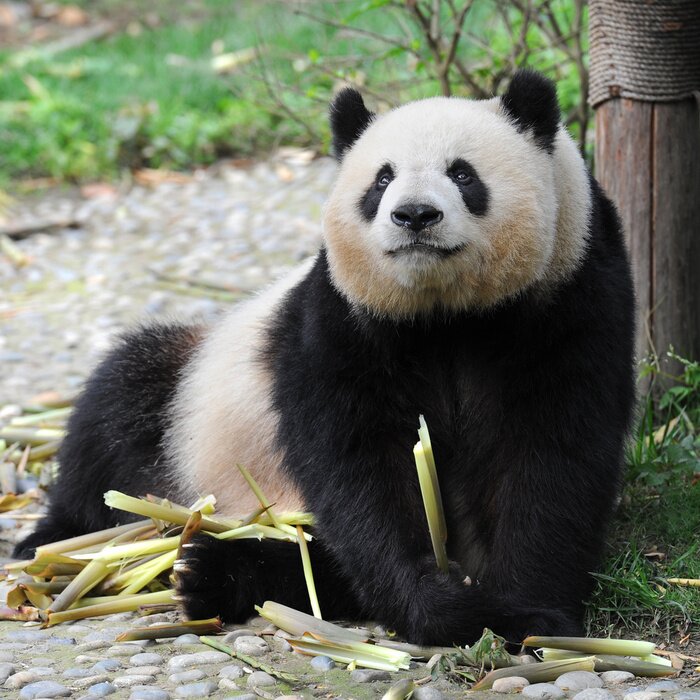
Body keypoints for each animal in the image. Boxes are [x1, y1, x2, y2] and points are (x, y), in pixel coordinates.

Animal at [15, 70, 636, 646]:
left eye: (463, 174)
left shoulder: (567, 299)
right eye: (382, 178)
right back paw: (64, 542)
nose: (414, 215)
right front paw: (443, 606)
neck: (447, 313)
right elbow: (359, 464)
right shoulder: (345, 320)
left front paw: (528, 612)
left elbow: (553, 453)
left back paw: (212, 575)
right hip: (189, 406)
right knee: (116, 407)